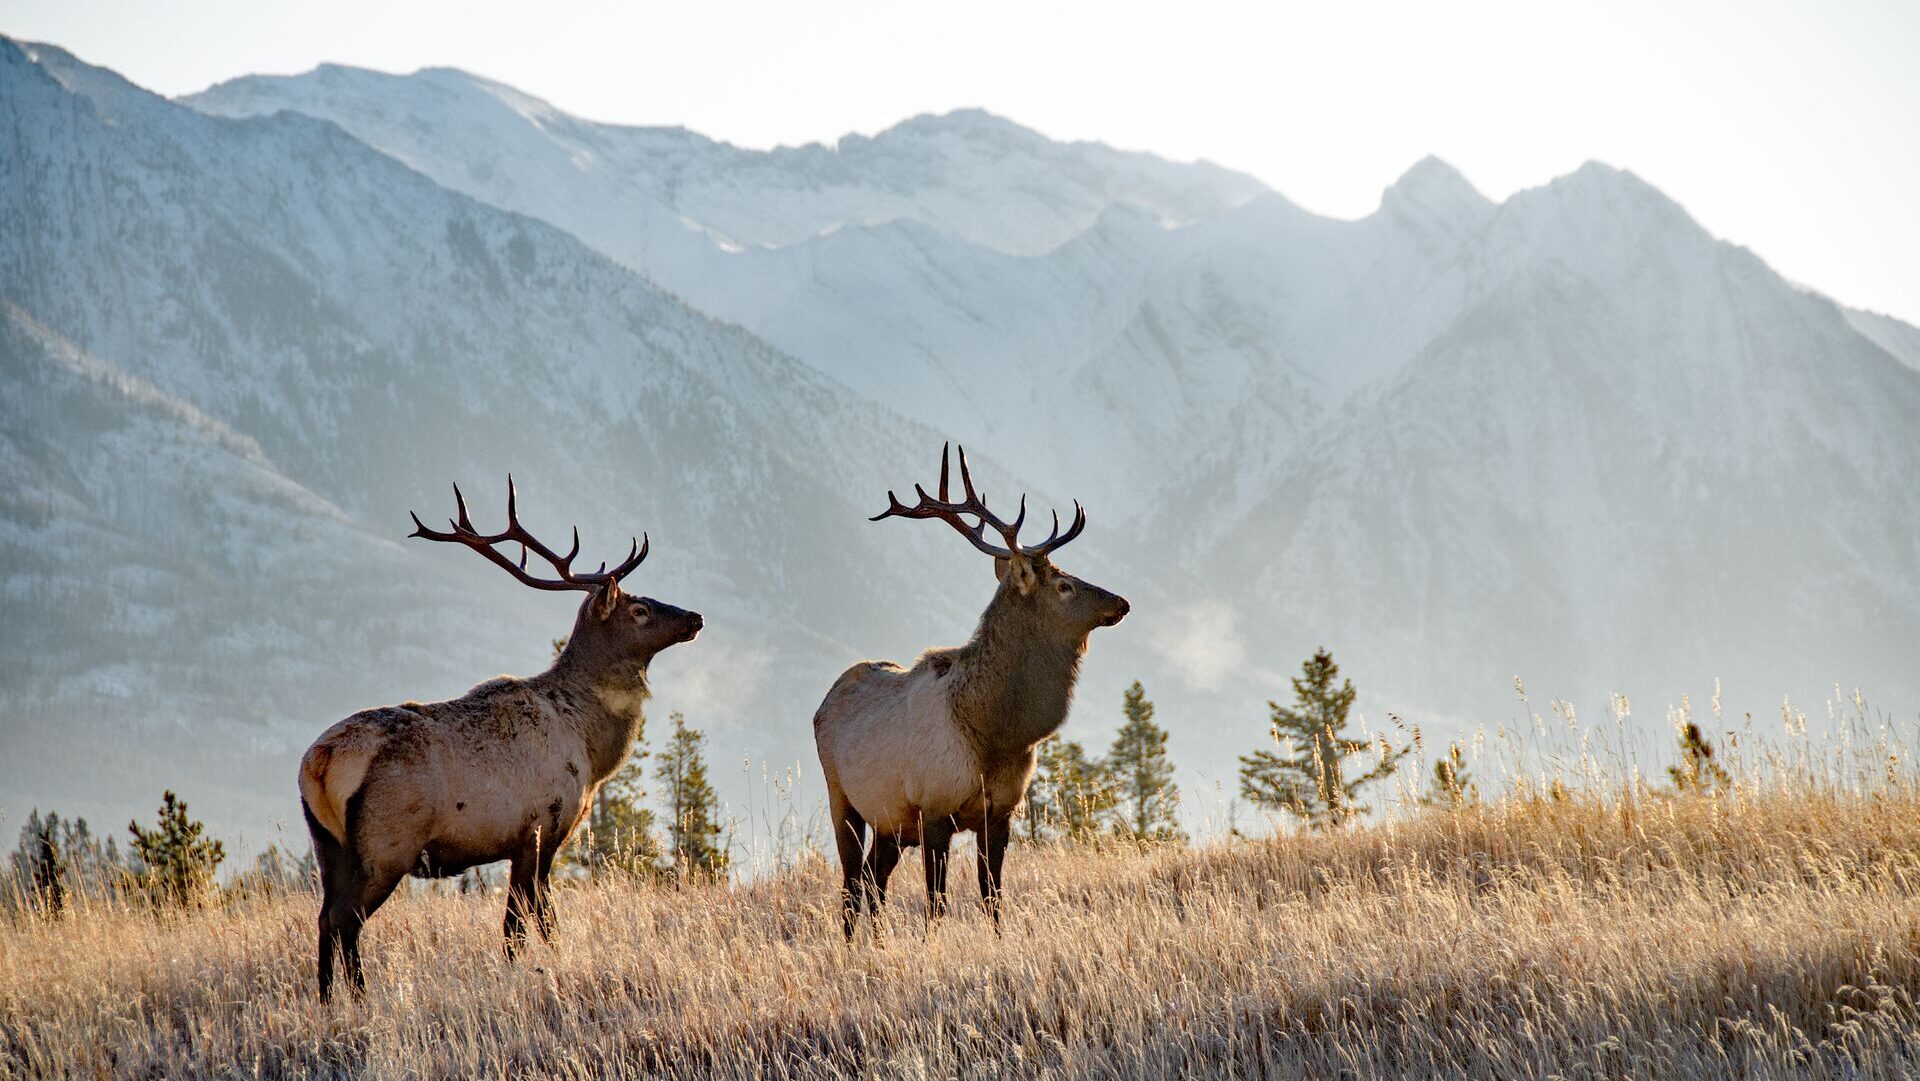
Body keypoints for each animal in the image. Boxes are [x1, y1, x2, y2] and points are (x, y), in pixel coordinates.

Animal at [297, 478, 702, 1001]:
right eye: (640, 609)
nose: (695, 617)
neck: (592, 749)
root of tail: (320, 761)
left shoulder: (523, 841)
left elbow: (526, 922)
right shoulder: (542, 827)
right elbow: (530, 923)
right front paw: (537, 969)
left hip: (328, 844)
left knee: (325, 918)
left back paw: (330, 1003)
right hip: (386, 844)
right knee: (347, 920)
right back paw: (363, 999)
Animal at [813, 444, 1129, 939]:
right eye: (1065, 585)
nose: (1121, 602)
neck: (995, 733)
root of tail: (823, 703)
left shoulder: (999, 811)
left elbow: (991, 896)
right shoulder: (933, 809)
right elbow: (935, 903)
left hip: (890, 821)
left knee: (873, 879)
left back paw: (877, 943)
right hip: (842, 798)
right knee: (850, 883)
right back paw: (850, 944)